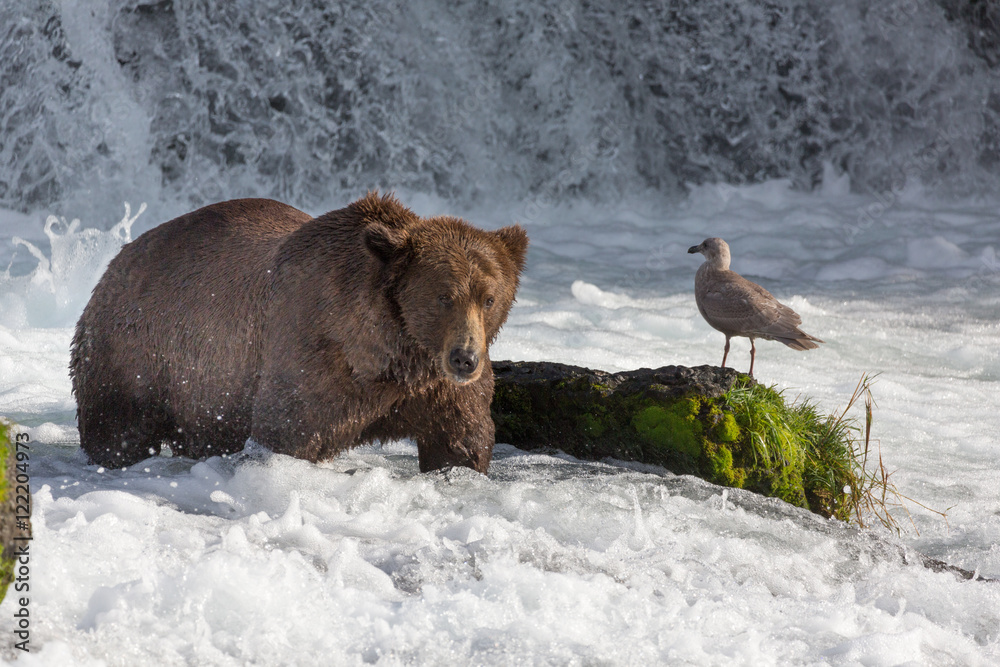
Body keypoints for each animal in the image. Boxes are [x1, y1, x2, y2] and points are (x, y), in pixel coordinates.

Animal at [70, 192, 528, 474]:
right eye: (443, 296)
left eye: (489, 297)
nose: (464, 358)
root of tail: (117, 260)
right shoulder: (314, 351)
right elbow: (288, 431)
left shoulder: (434, 386)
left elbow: (461, 439)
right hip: (138, 350)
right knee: (118, 426)